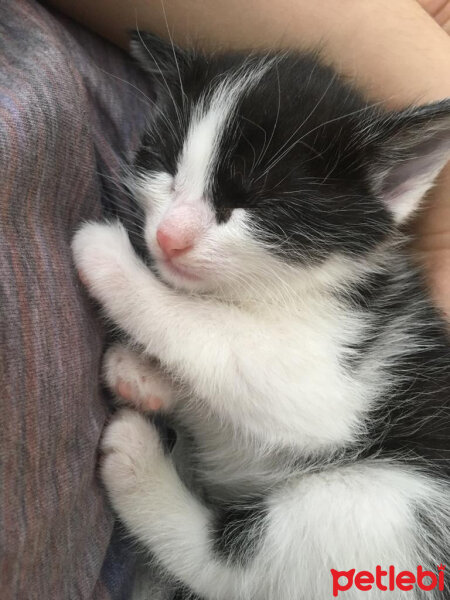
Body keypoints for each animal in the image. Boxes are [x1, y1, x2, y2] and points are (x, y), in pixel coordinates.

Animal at [71, 34, 450, 600]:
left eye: (253, 201)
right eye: (166, 169)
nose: (168, 236)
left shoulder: (328, 383)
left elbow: (219, 341)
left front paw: (110, 260)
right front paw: (144, 374)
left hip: (379, 505)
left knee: (235, 567)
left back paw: (137, 462)